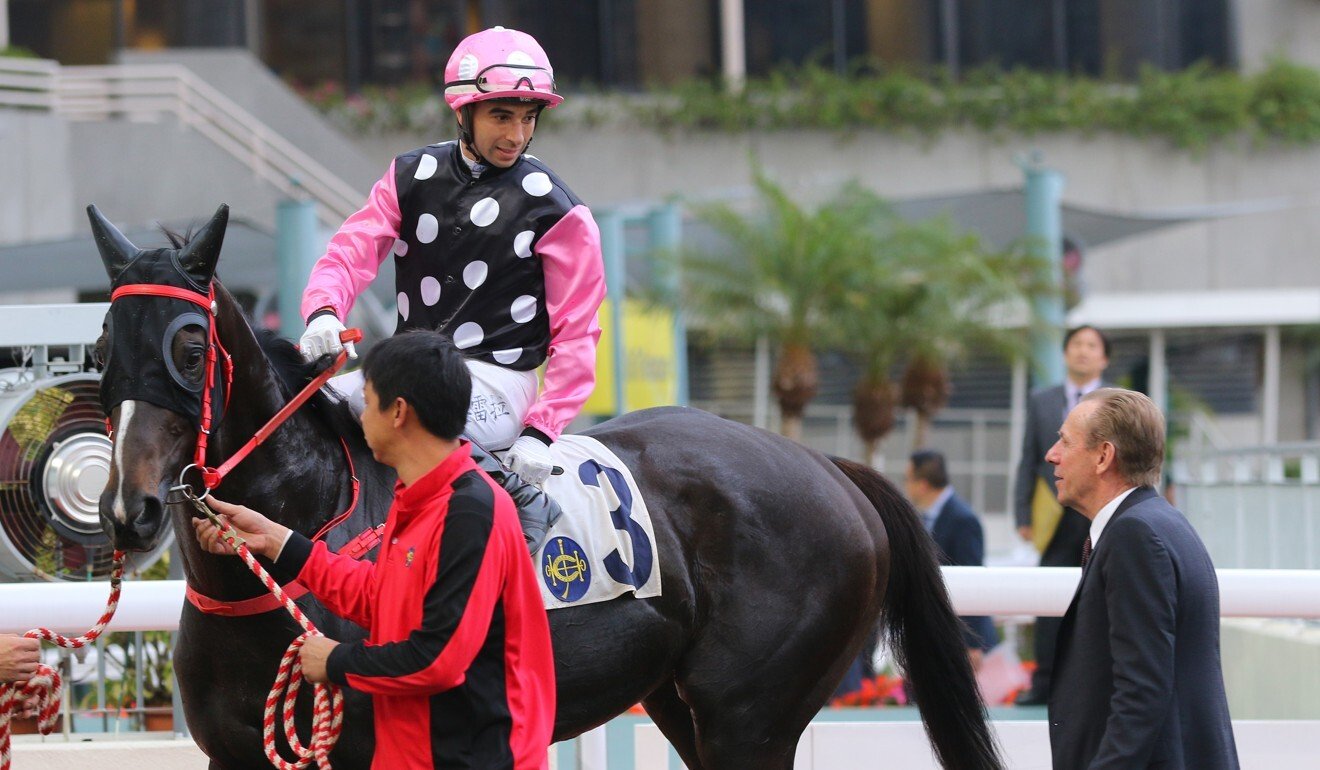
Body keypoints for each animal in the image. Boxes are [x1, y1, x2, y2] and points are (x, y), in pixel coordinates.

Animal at [93, 204, 997, 770]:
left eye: (189, 348)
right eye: (102, 342)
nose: (131, 511)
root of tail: (830, 469)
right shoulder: (233, 754)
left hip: (752, 717)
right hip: (682, 703)